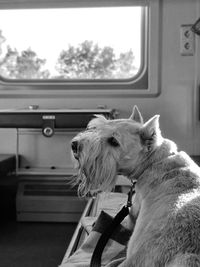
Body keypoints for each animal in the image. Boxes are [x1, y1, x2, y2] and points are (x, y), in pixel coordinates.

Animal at [70, 107, 200, 267]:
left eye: (114, 141)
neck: (155, 160)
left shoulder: (135, 208)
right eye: (99, 128)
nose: (74, 145)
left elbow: (128, 220)